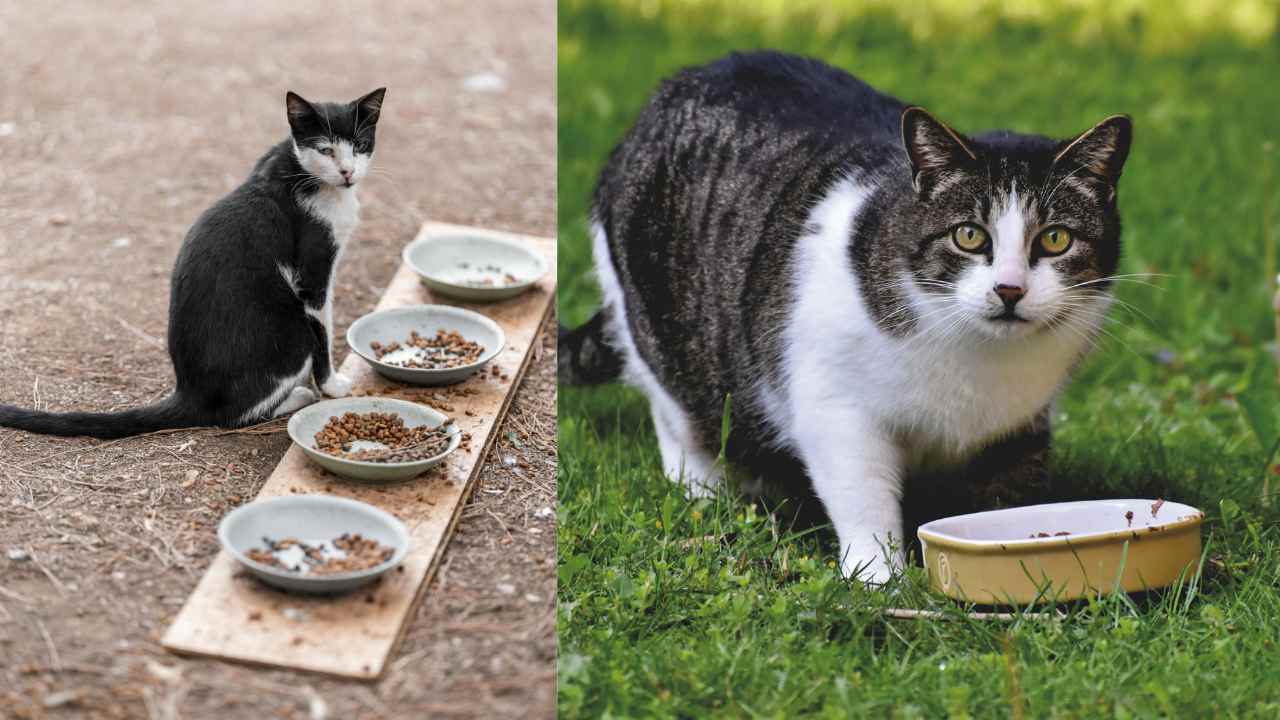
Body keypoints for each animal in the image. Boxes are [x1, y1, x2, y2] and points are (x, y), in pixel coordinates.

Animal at [2, 88, 386, 438]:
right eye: (325, 149)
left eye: (360, 144)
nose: (347, 172)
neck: (303, 174)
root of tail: (189, 391)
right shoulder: (312, 273)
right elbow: (323, 334)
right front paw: (332, 386)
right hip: (290, 332)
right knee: (235, 413)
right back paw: (300, 395)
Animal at [560, 54, 1131, 584]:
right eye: (969, 235)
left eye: (1055, 239)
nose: (1010, 289)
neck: (980, 360)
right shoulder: (835, 405)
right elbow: (863, 495)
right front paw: (880, 577)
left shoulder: (1019, 424)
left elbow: (1011, 497)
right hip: (660, 328)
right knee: (677, 413)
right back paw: (707, 490)